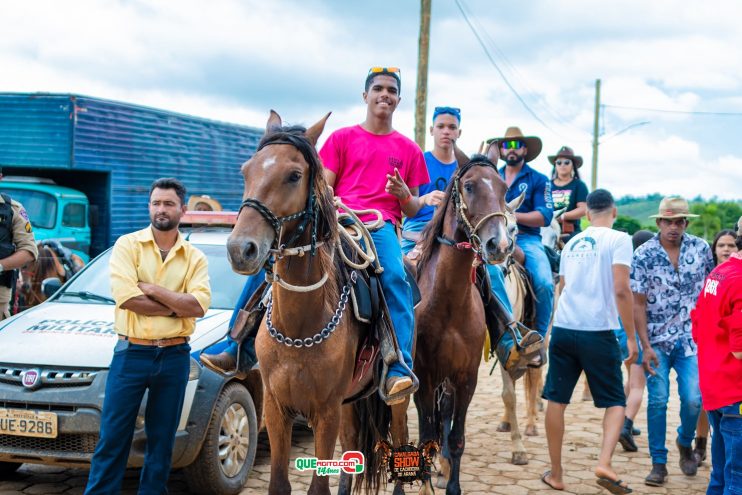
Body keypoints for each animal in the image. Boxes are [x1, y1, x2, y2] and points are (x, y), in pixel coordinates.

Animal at [228, 112, 410, 495]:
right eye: (246, 171)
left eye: (294, 175)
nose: (240, 249)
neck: (300, 326)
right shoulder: (276, 408)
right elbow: (279, 484)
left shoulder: (325, 412)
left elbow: (317, 487)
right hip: (351, 404)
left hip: (395, 398)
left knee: (402, 440)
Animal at [412, 152, 516, 495]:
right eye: (469, 186)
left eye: (503, 188)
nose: (499, 245)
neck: (448, 302)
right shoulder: (424, 377)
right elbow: (426, 435)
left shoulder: (465, 377)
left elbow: (456, 438)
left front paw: (451, 481)